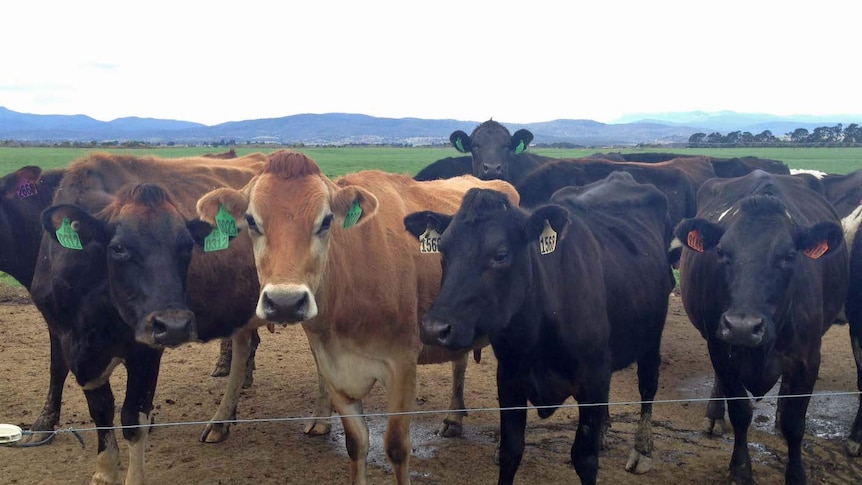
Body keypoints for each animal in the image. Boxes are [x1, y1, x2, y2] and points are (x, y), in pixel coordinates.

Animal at [29, 152, 274, 484]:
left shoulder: (144, 350)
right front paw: (105, 473)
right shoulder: (73, 344)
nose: (174, 325)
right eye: (118, 248)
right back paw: (221, 422)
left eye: (187, 246)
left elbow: (133, 418)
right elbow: (101, 412)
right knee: (242, 348)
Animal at [196, 149, 520, 482]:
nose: (285, 302)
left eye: (326, 220)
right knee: (459, 362)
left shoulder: (402, 364)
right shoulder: (332, 367)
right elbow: (356, 443)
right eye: (251, 220)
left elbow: (396, 447)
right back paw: (454, 418)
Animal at [408, 171, 680, 484]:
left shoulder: (593, 379)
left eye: (500, 254)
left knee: (648, 385)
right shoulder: (509, 379)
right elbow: (511, 450)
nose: (435, 327)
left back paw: (642, 450)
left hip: (651, 337)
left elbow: (585, 458)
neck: (537, 333)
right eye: (442, 250)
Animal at [676, 168, 852, 482]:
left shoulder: (809, 358)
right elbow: (740, 412)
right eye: (721, 252)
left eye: (789, 255)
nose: (743, 327)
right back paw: (714, 415)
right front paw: (740, 470)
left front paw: (796, 474)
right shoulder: (720, 350)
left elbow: (795, 422)